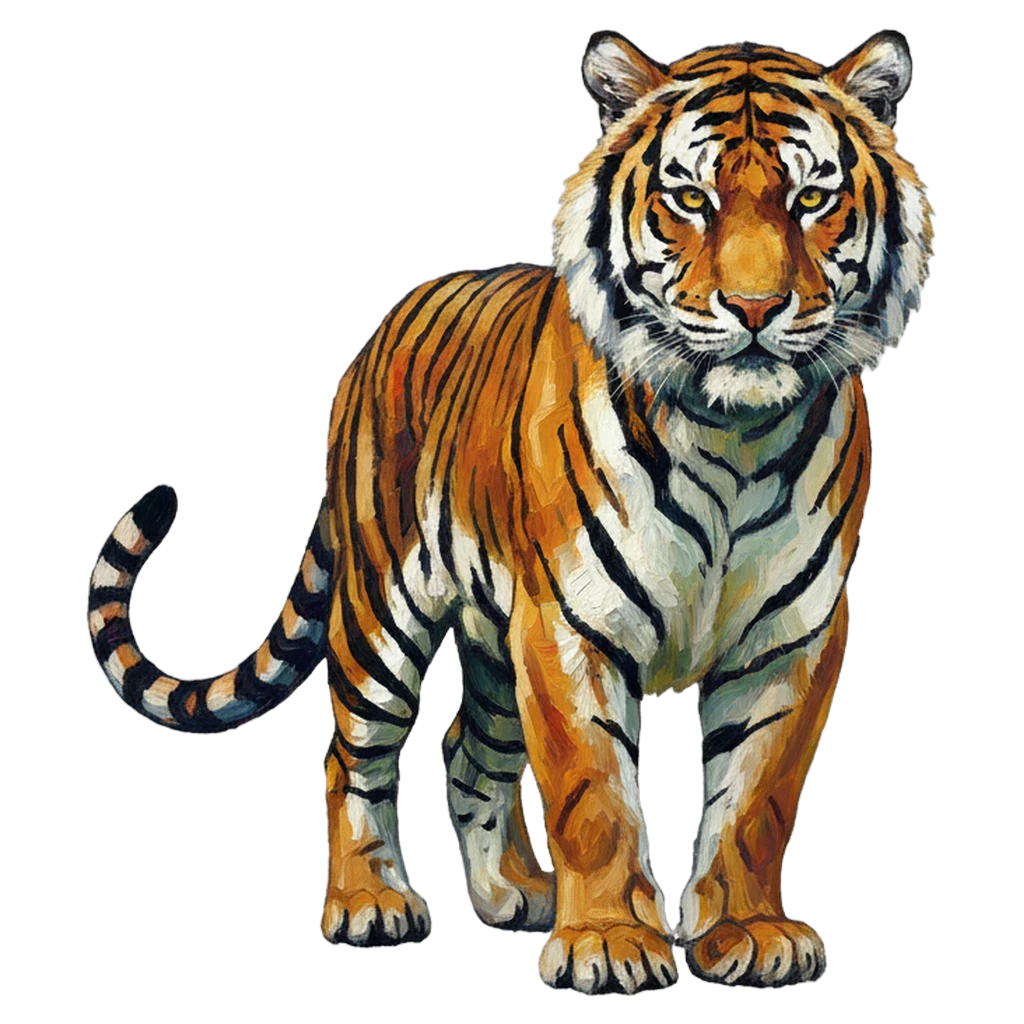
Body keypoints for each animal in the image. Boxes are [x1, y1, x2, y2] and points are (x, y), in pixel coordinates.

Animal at [88, 29, 933, 994]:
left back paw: (511, 895)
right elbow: (593, 791)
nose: (756, 309)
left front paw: (748, 933)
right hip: (381, 612)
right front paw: (609, 941)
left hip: (492, 642)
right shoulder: (572, 624)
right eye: (690, 199)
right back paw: (369, 903)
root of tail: (383, 329)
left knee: (469, 748)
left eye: (811, 199)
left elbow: (756, 796)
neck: (733, 437)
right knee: (352, 755)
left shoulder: (790, 634)